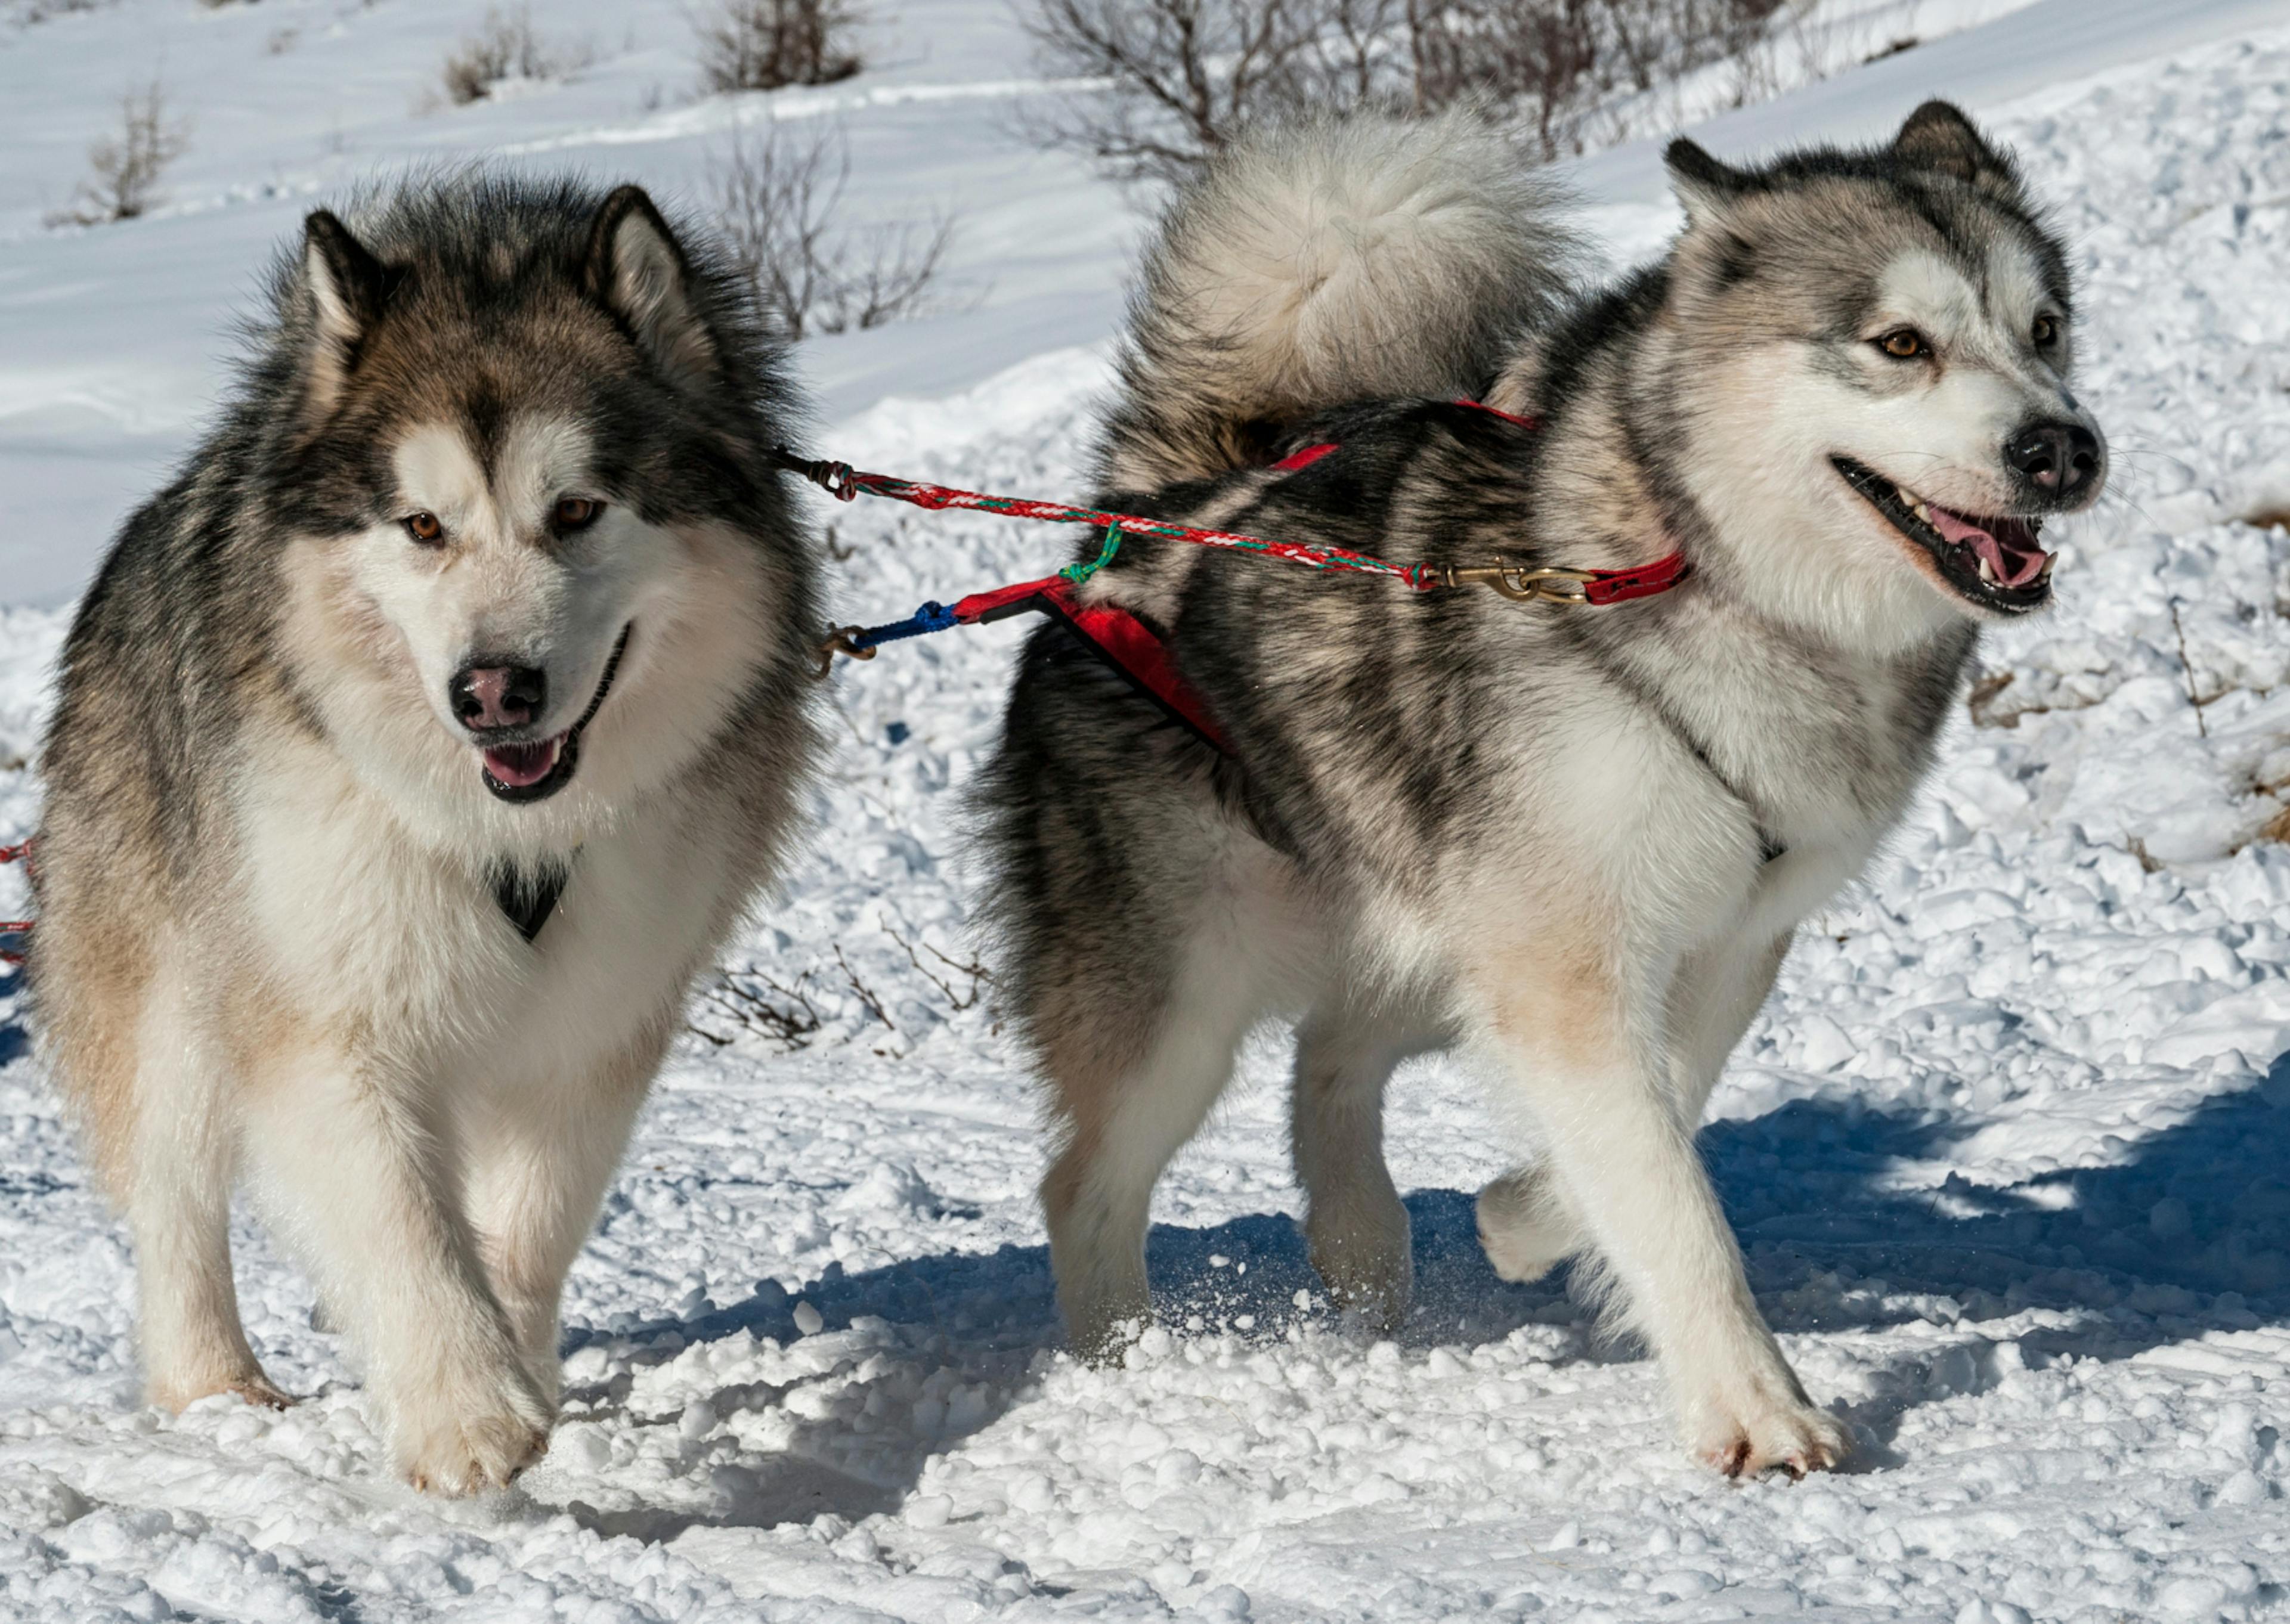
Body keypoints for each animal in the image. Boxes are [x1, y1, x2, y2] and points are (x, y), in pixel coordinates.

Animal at [31, 177, 819, 1493]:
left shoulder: (597, 1021)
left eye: (578, 510)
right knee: (174, 1193)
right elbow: (399, 1217)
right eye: (421, 526)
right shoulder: (324, 1007)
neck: (499, 834)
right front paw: (465, 1411)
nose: (492, 692)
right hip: (172, 975)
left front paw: (518, 1360)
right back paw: (216, 1388)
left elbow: (528, 1223)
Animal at [975, 98, 2097, 1465]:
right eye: (1900, 342)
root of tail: (1144, 518)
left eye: (2045, 330)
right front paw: (1756, 1409)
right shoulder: (1562, 960)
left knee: (1330, 1059)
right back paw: (1124, 1365)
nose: (2065, 449)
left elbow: (1673, 1095)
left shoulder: (1725, 934)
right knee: (1088, 1181)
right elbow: (1671, 1195)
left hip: (1423, 925)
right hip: (1191, 991)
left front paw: (1524, 1217)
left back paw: (1363, 1248)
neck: (1708, 570)